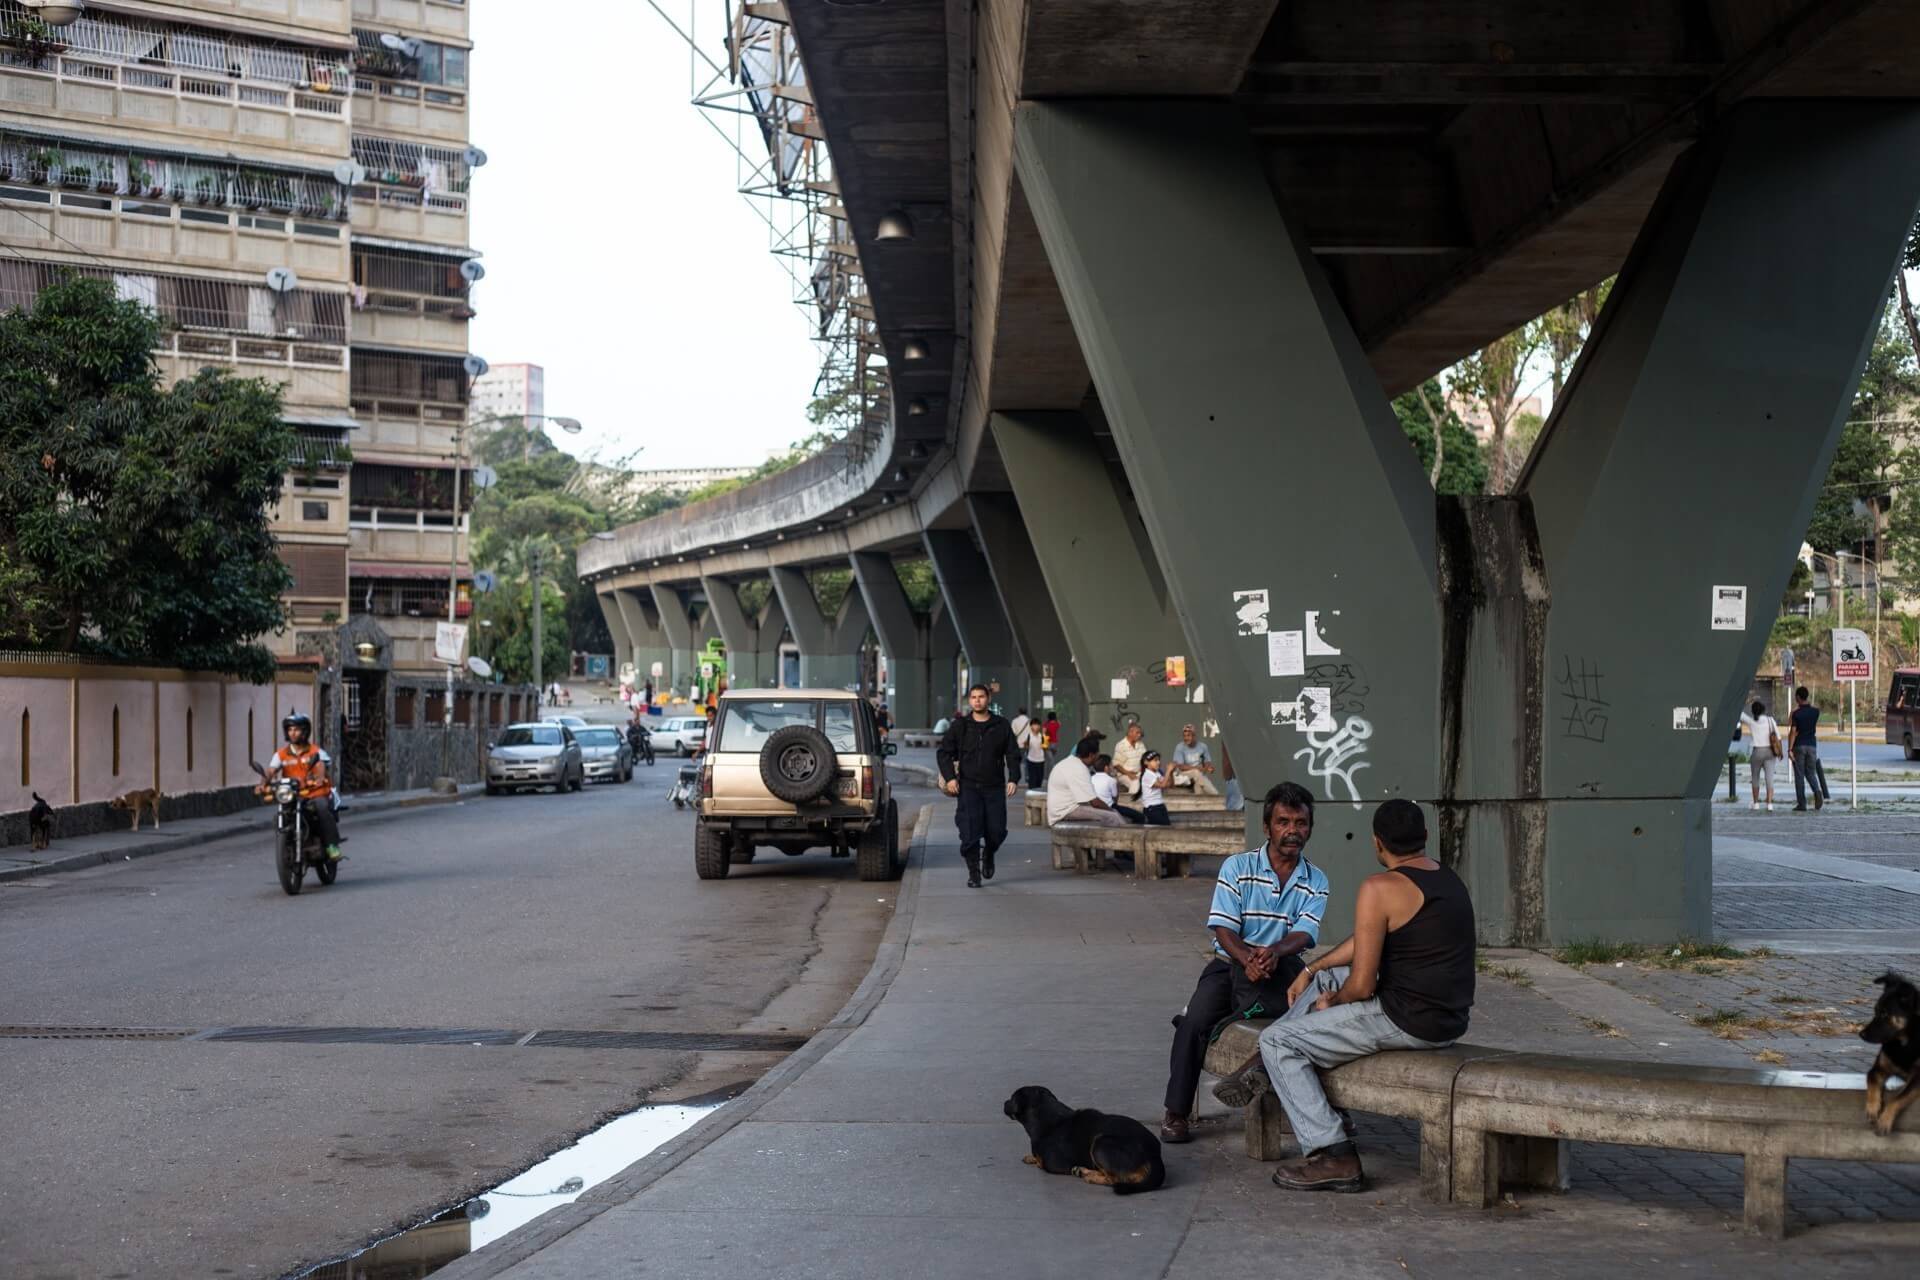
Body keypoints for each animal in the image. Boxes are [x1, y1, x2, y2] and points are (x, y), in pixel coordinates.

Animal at [1013, 1090, 1159, 1197]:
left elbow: (1040, 1162)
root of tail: (1154, 1154)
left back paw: (1090, 1176)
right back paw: (1083, 1171)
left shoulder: (1050, 1165)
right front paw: (1030, 1157)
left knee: (1117, 1179)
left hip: (1100, 1144)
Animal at [1858, 974, 1920, 1136]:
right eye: (1875, 1010)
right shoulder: (1879, 1068)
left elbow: (1898, 1098)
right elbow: (1871, 1078)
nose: (1861, 1034)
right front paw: (1872, 1107)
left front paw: (1885, 1120)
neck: (1904, 1043)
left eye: (1884, 1013)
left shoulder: (1918, 1078)